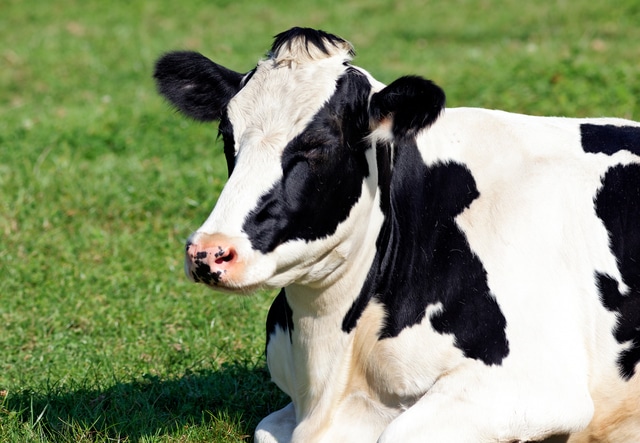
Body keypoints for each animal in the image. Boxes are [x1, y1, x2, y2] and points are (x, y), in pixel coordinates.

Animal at [153, 27, 640, 442]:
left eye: (319, 146)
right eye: (226, 134)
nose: (210, 252)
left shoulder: (535, 386)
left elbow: (397, 434)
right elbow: (266, 429)